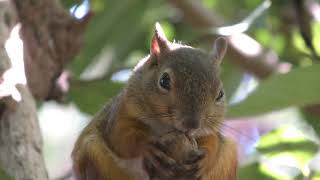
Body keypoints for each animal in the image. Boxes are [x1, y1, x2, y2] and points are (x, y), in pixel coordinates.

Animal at [72, 22, 238, 180]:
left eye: (220, 94)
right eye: (164, 81)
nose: (192, 125)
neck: (165, 127)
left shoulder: (208, 130)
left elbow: (213, 142)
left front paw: (205, 159)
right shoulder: (121, 111)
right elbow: (121, 136)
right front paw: (147, 147)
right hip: (91, 153)